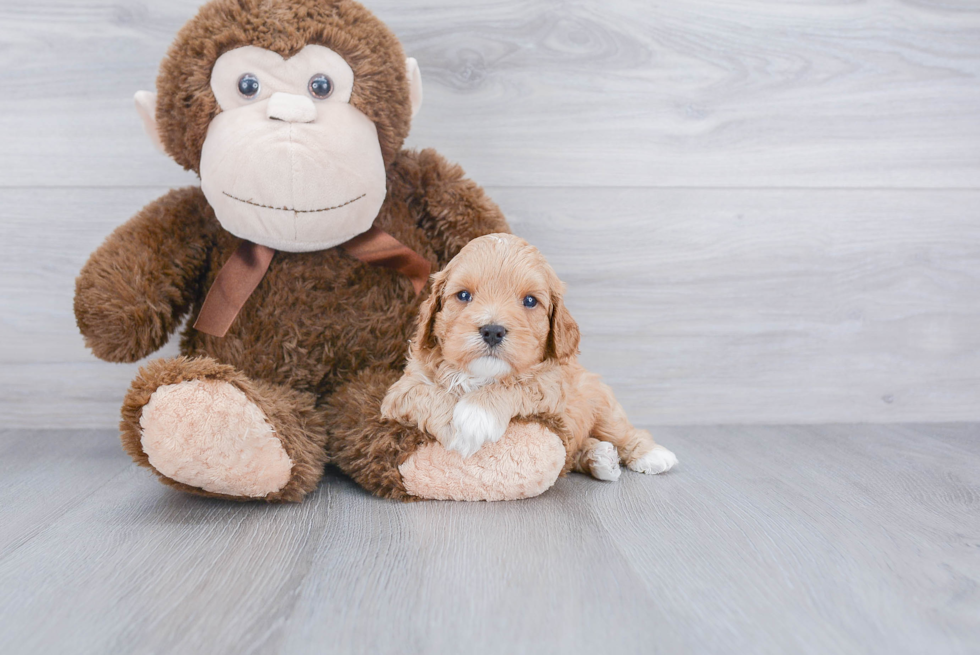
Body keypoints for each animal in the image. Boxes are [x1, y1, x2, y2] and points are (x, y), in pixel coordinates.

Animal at [378, 234, 676, 482]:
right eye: (463, 295)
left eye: (530, 301)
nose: (492, 330)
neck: (481, 376)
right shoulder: (400, 393)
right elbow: (427, 393)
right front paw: (457, 427)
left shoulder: (552, 385)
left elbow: (517, 384)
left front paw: (475, 416)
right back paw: (601, 458)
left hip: (602, 403)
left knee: (623, 432)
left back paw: (650, 454)